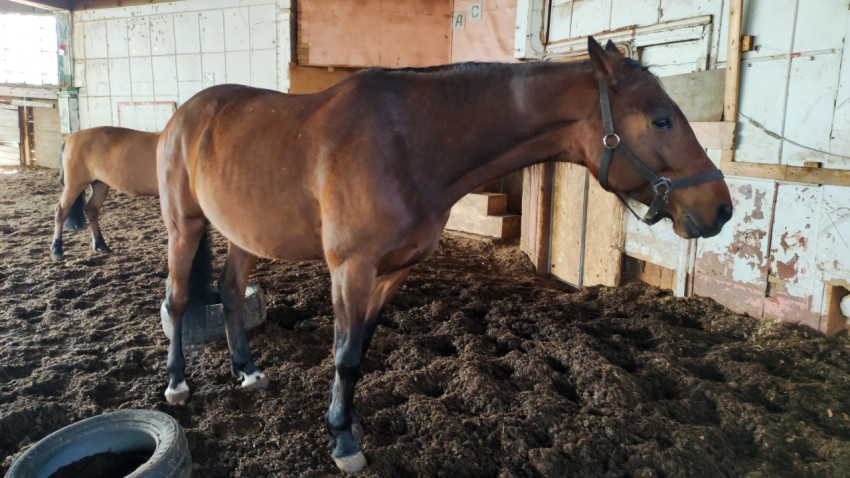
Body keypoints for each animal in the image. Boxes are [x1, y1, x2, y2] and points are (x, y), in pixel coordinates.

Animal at [51, 126, 160, 261]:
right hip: (74, 185)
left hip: (100, 184)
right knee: (61, 211)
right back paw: (57, 249)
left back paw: (100, 244)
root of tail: (70, 137)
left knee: (91, 209)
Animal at [156, 37, 733, 472]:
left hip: (243, 235)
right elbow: (344, 354)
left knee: (231, 292)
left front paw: (349, 421)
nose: (722, 209)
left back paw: (247, 371)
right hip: (184, 228)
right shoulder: (350, 269)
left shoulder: (391, 273)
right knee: (178, 301)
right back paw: (178, 385)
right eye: (661, 120)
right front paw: (343, 441)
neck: (406, 143)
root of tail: (182, 117)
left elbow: (359, 350)